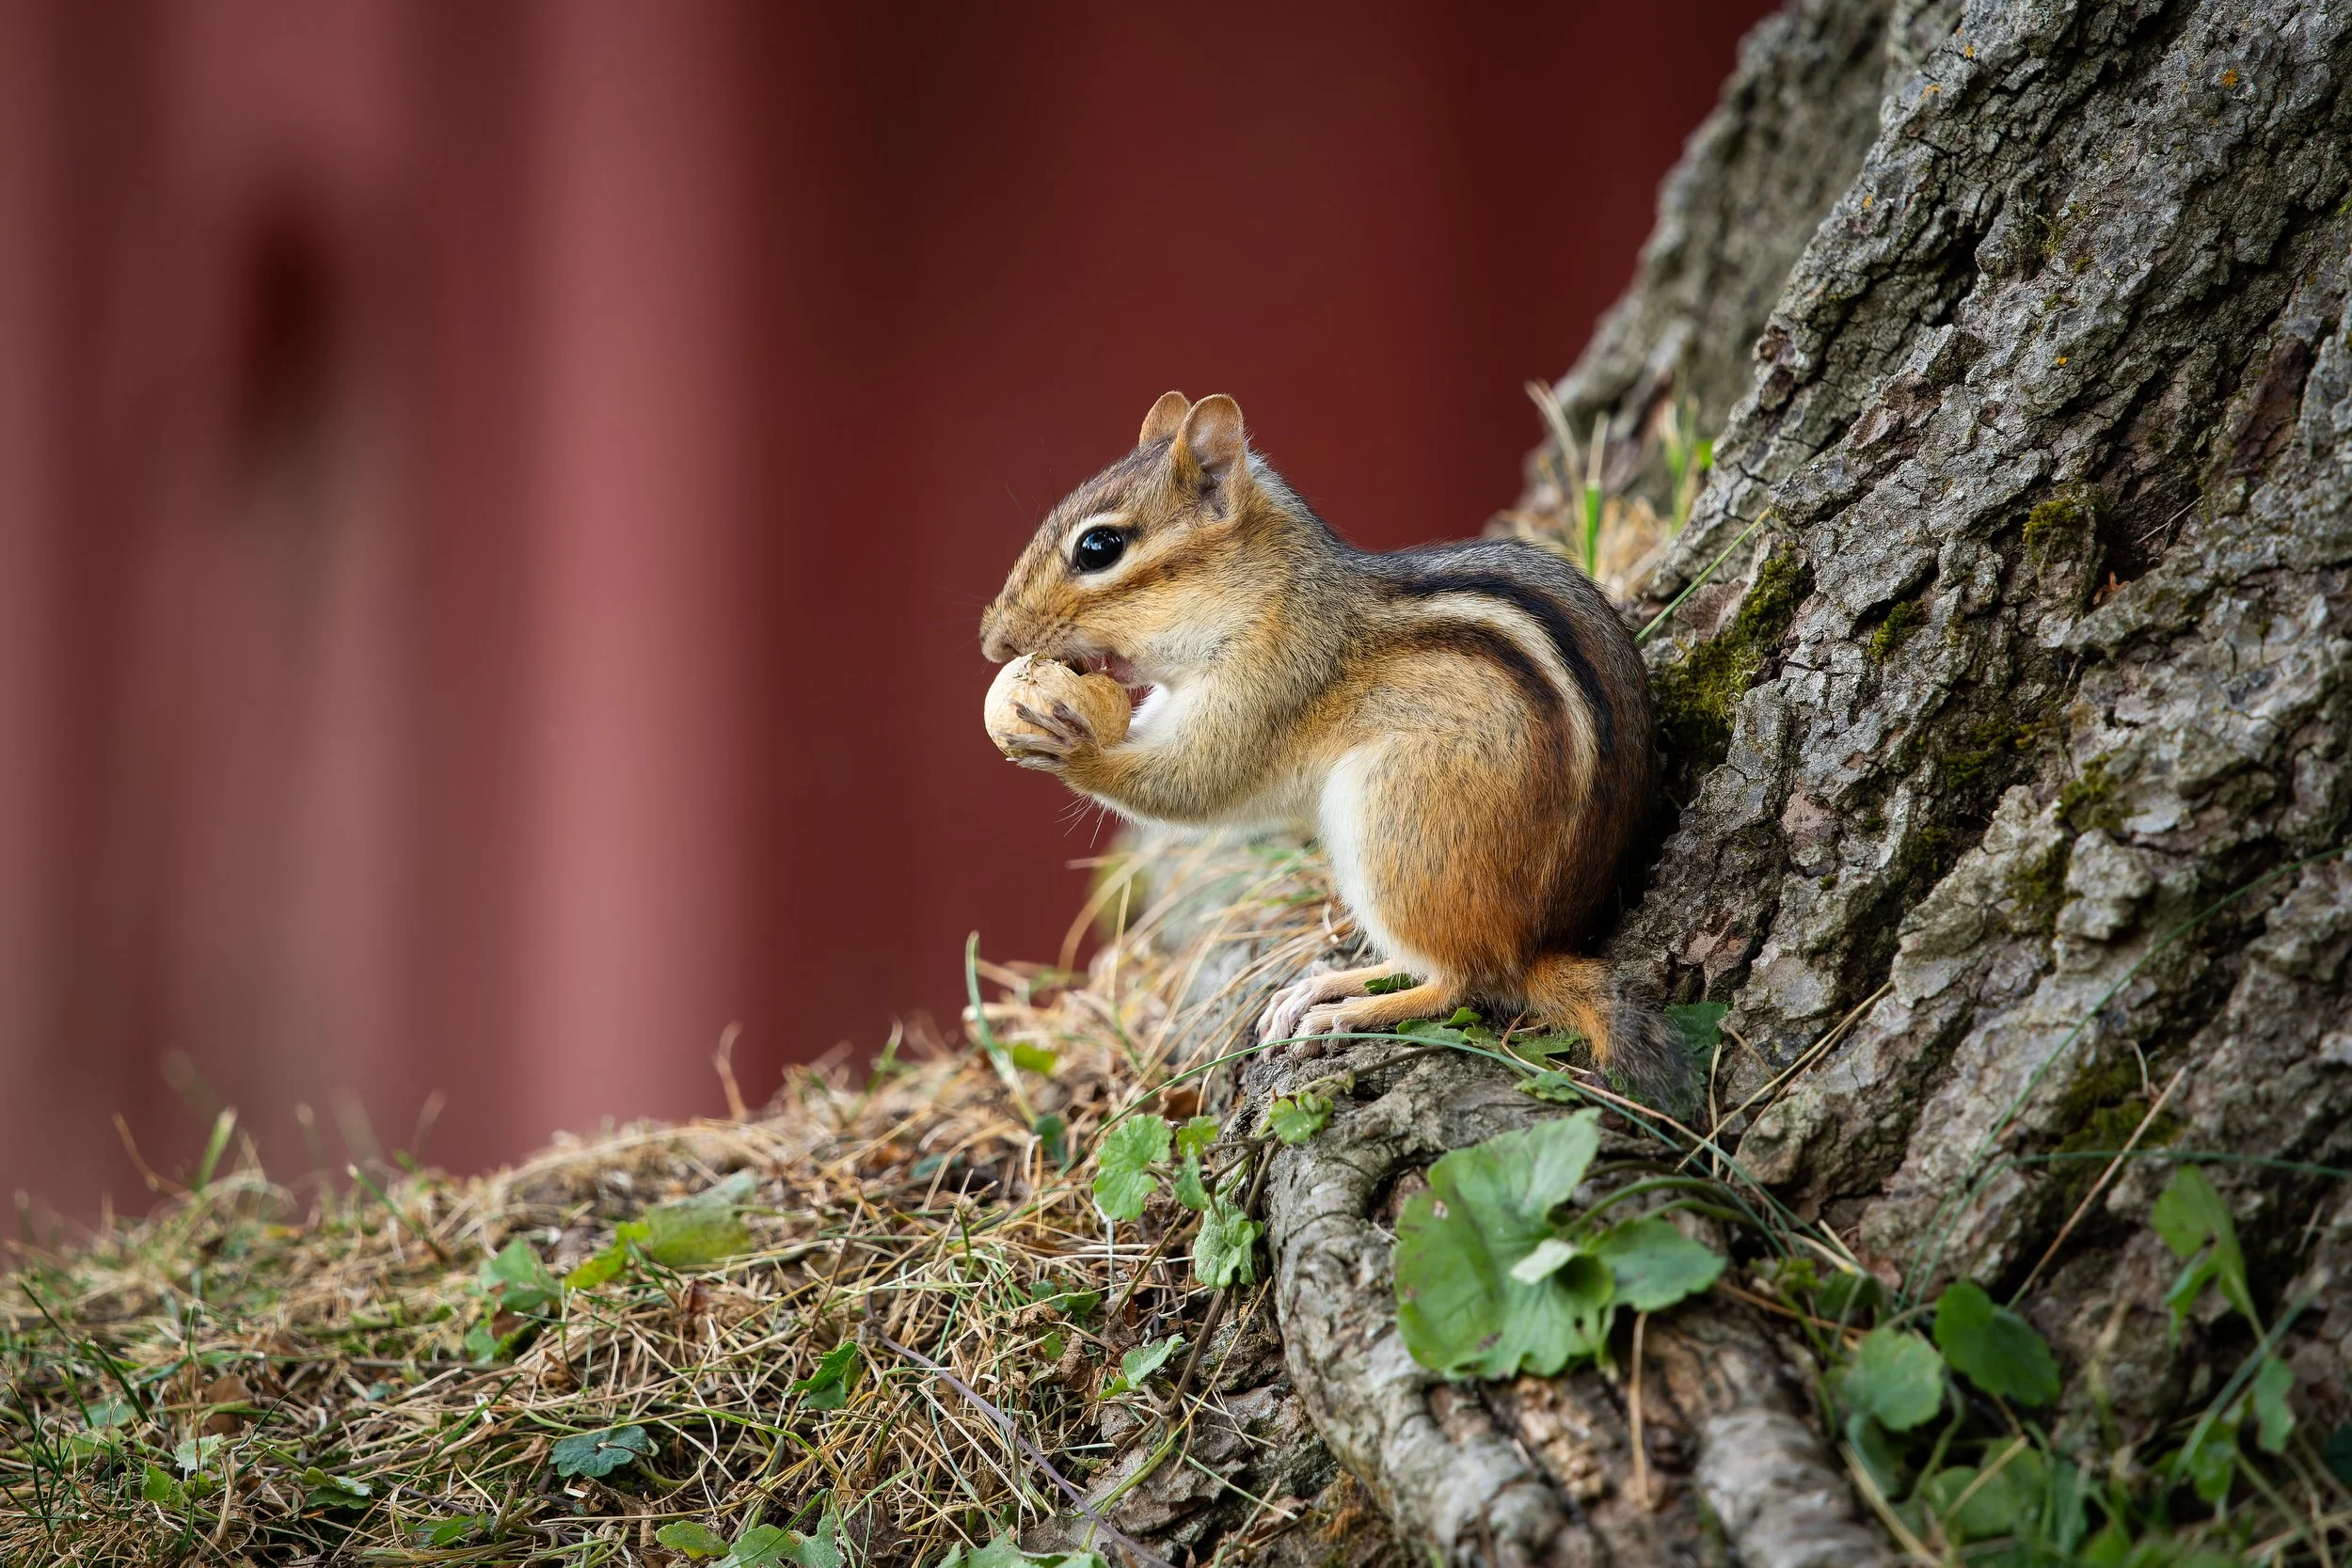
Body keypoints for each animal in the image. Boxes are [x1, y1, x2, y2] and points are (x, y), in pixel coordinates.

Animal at [980, 391, 1685, 1108]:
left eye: (1099, 547)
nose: (991, 640)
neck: (1269, 595)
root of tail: (1535, 947)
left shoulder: (1272, 683)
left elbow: (1197, 781)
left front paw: (1068, 745)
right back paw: (1322, 986)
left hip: (1395, 817)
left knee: (1465, 981)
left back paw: (1348, 1012)